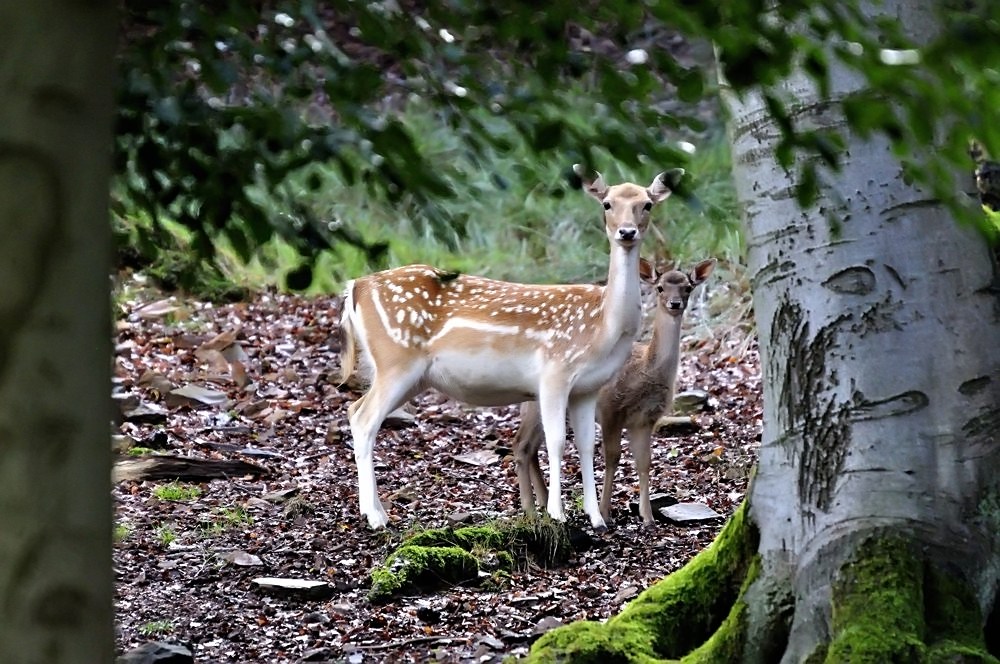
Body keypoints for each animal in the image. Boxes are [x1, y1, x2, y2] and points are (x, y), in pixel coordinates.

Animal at [340, 165, 684, 528]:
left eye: (647, 204)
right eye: (607, 203)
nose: (627, 232)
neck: (602, 328)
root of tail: (355, 287)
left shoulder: (588, 388)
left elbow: (587, 446)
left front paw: (595, 518)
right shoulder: (555, 371)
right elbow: (557, 442)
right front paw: (557, 513)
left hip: (410, 374)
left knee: (354, 409)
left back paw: (377, 510)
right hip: (396, 359)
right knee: (365, 420)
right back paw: (374, 517)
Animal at [512, 258, 716, 524]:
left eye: (688, 287)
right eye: (660, 287)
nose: (675, 303)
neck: (646, 370)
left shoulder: (646, 419)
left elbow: (644, 462)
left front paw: (647, 517)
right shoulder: (611, 409)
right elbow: (612, 457)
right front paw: (605, 511)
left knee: (534, 446)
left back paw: (545, 502)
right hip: (539, 404)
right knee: (522, 444)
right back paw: (533, 508)